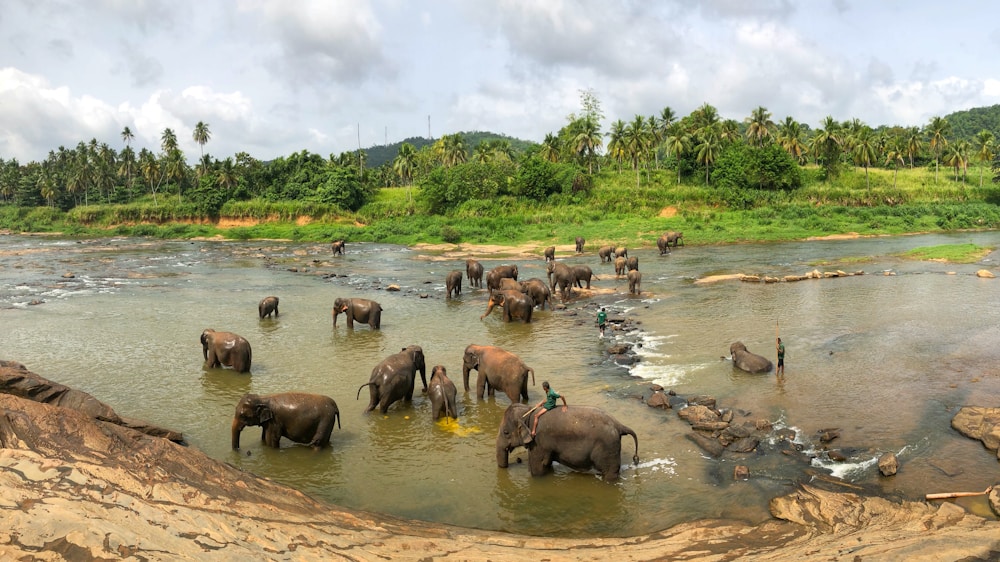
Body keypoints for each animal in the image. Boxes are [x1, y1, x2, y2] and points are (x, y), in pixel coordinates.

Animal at [496, 403, 639, 482]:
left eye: (506, 432)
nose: (517, 461)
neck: (529, 410)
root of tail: (619, 425)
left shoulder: (538, 441)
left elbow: (538, 468)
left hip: (608, 447)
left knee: (610, 472)